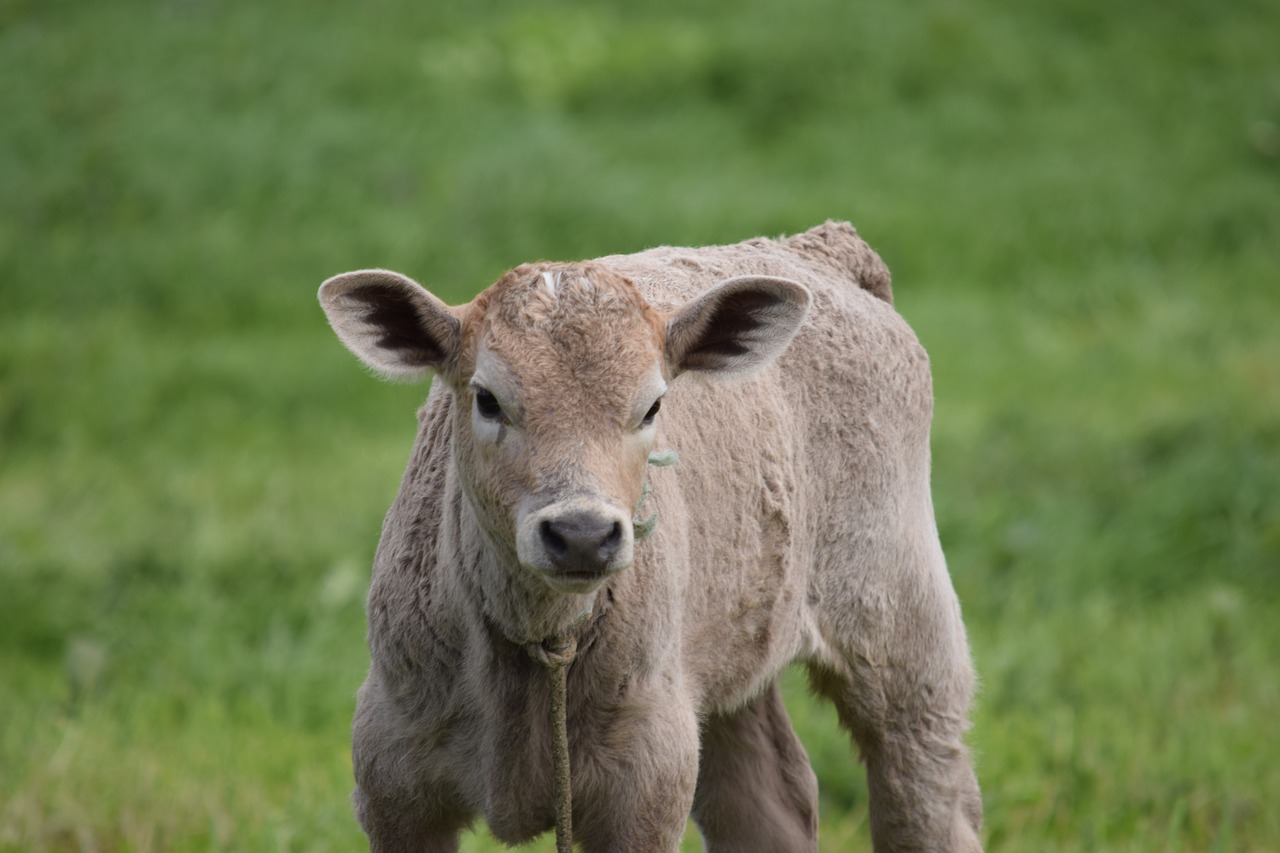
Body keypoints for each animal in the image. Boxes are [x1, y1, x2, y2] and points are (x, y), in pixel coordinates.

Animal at [317, 220, 977, 850]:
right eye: (487, 399)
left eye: (654, 407)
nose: (582, 534)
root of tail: (821, 247)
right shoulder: (392, 774)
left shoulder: (647, 780)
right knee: (769, 805)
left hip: (904, 629)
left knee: (930, 799)